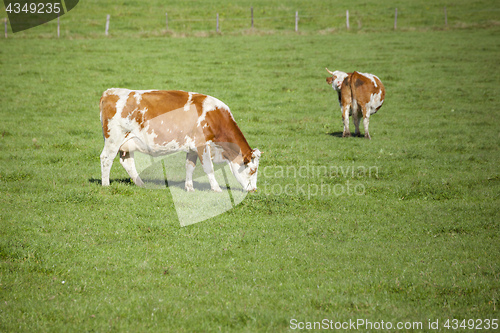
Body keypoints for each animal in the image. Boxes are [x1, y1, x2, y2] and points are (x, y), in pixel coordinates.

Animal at [98, 88, 262, 192]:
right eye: (252, 170)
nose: (254, 189)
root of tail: (110, 92)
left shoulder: (192, 147)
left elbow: (189, 167)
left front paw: (189, 188)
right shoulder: (202, 145)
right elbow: (208, 168)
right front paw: (216, 189)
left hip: (127, 143)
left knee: (127, 163)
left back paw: (141, 184)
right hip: (114, 139)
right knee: (106, 158)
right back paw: (106, 185)